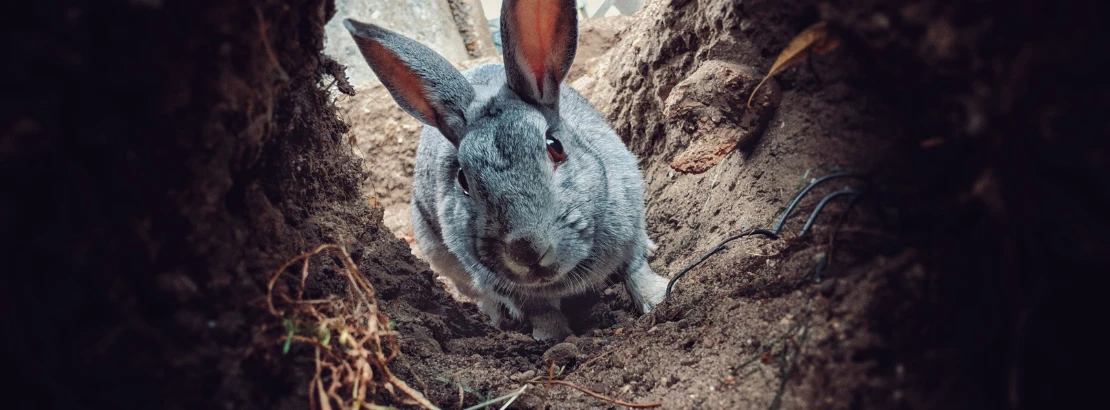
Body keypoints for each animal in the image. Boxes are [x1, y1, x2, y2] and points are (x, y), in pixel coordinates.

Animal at [344, 0, 669, 341]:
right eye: (462, 180)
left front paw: (656, 299)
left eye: (555, 147)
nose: (527, 252)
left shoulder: (629, 225)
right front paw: (553, 338)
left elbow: (635, 269)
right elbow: (541, 311)